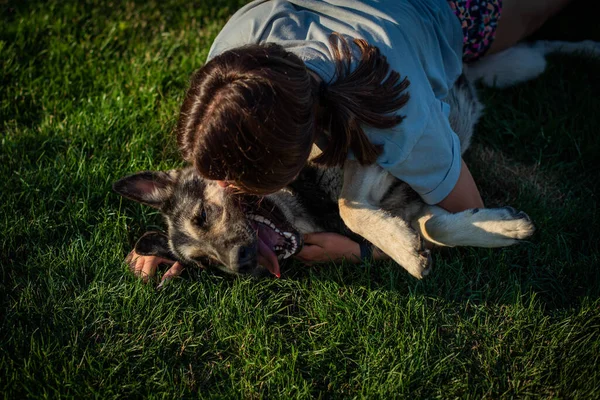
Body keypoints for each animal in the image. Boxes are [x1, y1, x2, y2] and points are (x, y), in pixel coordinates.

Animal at [113, 39, 600, 280]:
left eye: (202, 215)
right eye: (205, 265)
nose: (241, 266)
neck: (301, 201)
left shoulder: (364, 146)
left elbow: (354, 207)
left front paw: (409, 249)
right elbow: (433, 226)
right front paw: (498, 229)